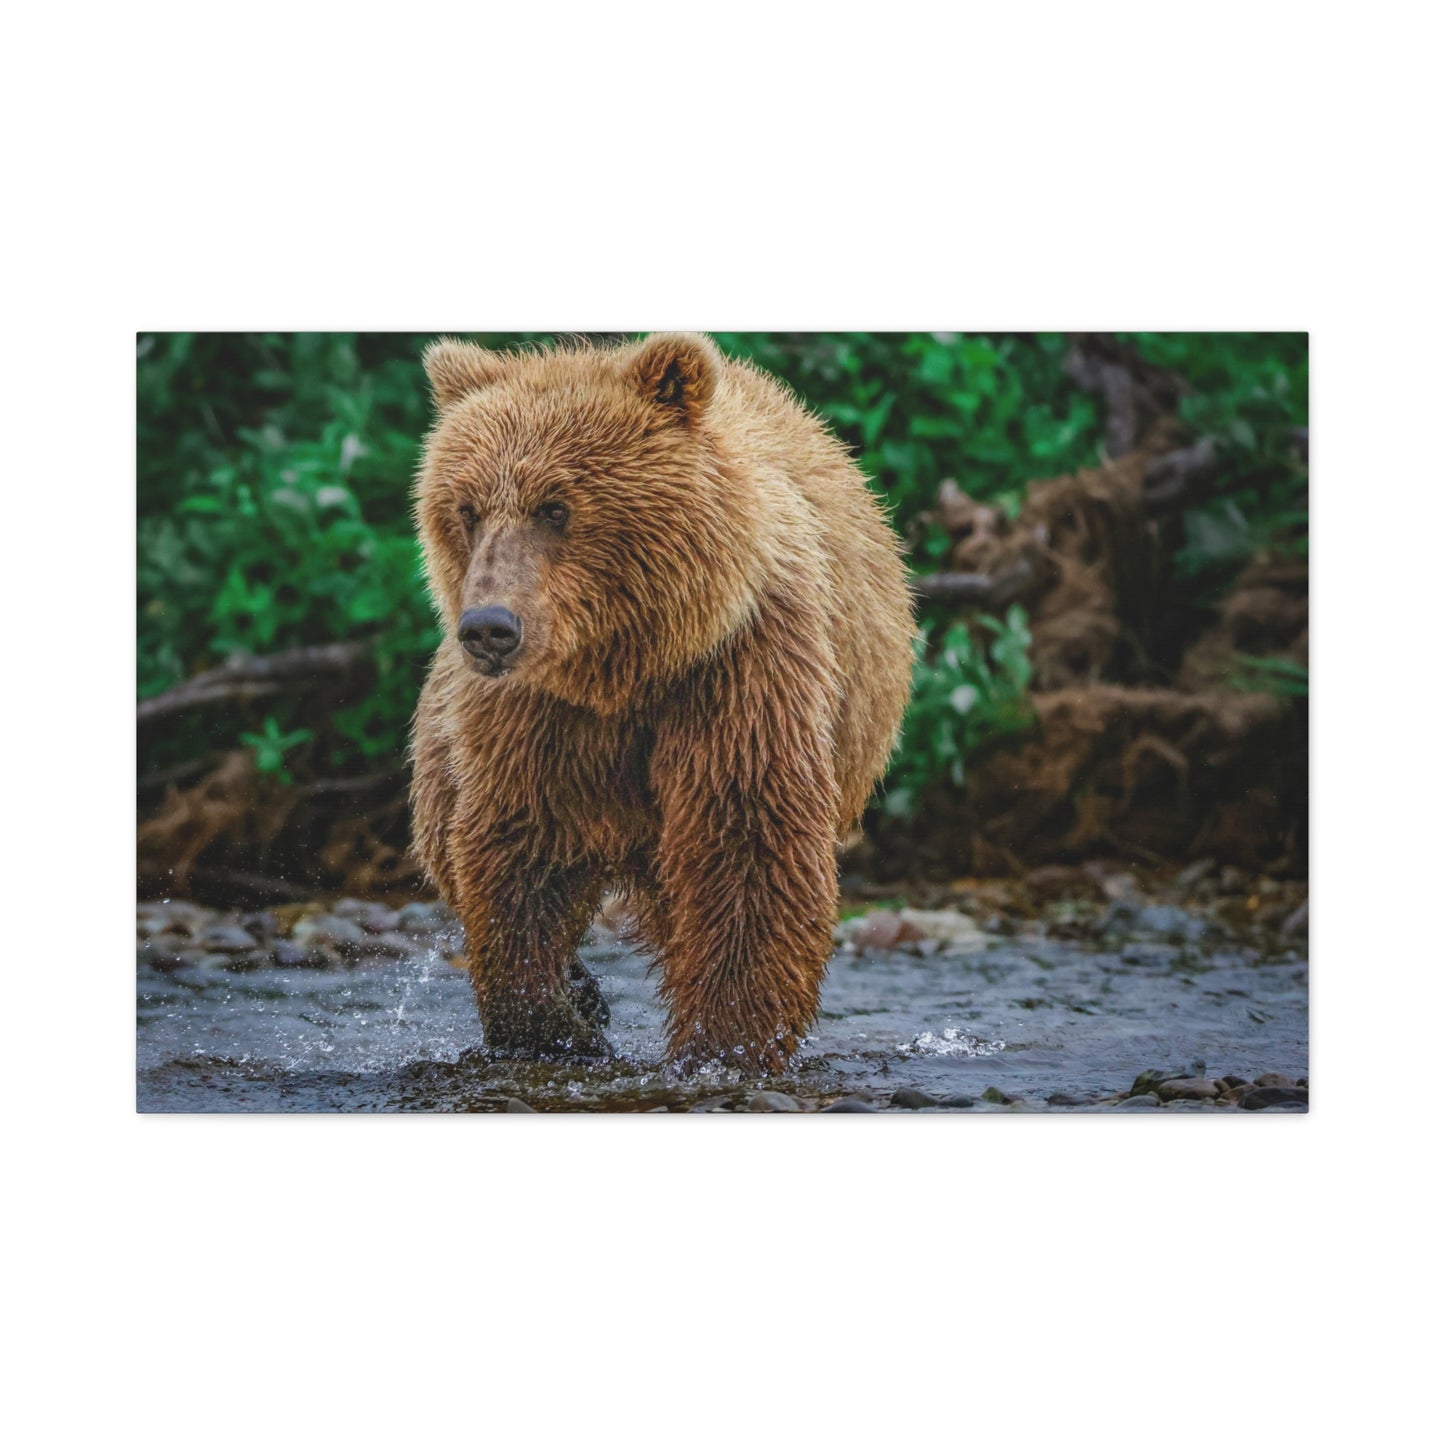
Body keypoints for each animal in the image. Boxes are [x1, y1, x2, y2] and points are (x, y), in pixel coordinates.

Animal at [409, 332, 915, 1072]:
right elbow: (518, 848)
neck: (627, 666)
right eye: (466, 509)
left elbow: (747, 845)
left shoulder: (739, 670)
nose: (489, 628)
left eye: (555, 506)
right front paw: (555, 1022)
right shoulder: (538, 716)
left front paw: (724, 1040)